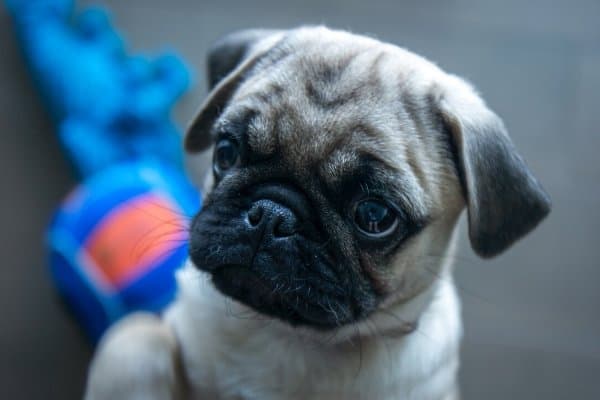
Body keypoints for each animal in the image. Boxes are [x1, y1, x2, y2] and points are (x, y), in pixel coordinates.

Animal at [83, 26, 548, 398]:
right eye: (227, 152)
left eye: (374, 215)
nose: (271, 214)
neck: (283, 335)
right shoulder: (153, 338)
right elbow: (135, 335)